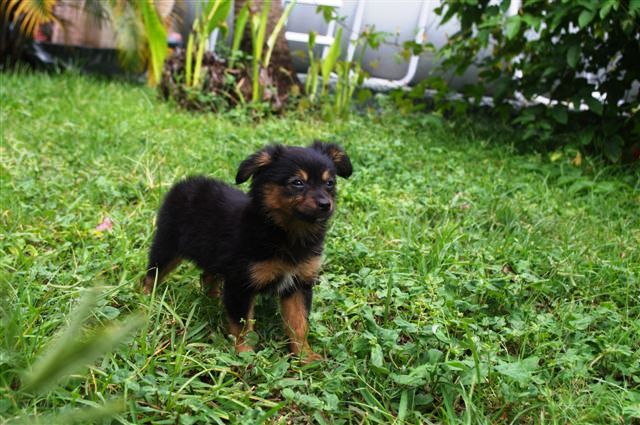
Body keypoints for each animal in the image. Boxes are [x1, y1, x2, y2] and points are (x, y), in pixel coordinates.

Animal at [143, 141, 352, 360]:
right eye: (297, 183)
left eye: (330, 183)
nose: (326, 205)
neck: (285, 233)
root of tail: (185, 184)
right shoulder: (241, 283)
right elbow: (242, 325)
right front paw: (246, 356)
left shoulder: (298, 285)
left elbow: (299, 324)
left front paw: (305, 356)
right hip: (167, 245)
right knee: (151, 275)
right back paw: (145, 300)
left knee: (207, 276)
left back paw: (213, 299)